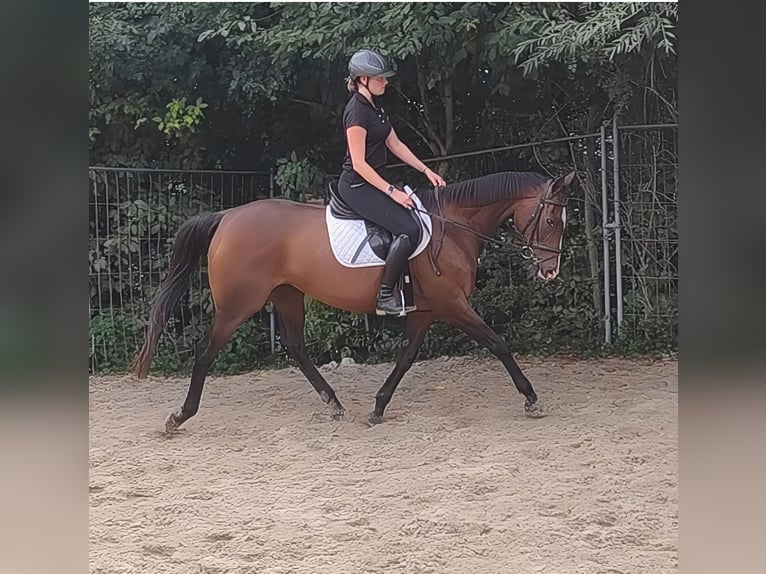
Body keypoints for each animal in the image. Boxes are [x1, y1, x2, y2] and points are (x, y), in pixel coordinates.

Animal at [134, 170, 575, 431]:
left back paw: (333, 403)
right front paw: (531, 399)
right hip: (237, 305)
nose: (550, 272)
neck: (453, 227)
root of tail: (227, 216)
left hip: (287, 295)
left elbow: (406, 357)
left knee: (295, 347)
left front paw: (378, 407)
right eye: (552, 220)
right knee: (206, 351)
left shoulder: (426, 311)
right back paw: (180, 415)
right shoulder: (452, 305)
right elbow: (498, 343)